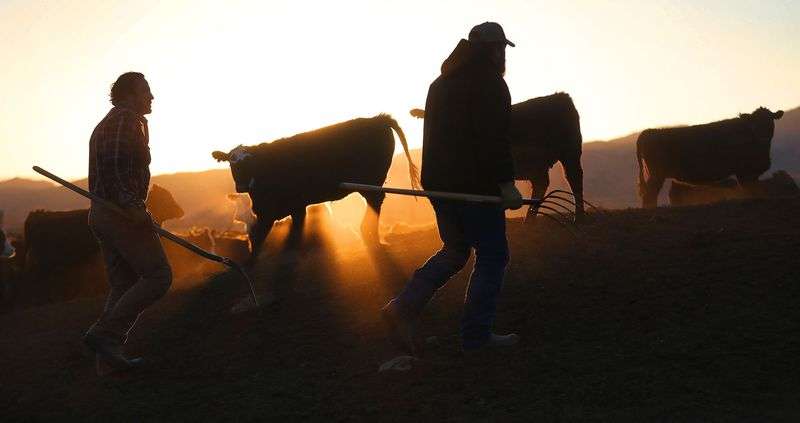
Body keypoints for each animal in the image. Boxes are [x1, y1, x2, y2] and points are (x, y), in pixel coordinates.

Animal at [212, 114, 420, 261]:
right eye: (231, 162)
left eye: (250, 161)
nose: (241, 185)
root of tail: (377, 118)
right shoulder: (278, 210)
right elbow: (264, 236)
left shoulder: (283, 208)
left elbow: (276, 236)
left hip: (371, 181)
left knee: (375, 202)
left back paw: (369, 233)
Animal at [410, 92, 585, 222]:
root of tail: (560, 96)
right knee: (542, 183)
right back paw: (530, 218)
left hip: (570, 152)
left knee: (573, 178)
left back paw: (579, 216)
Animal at [637, 107, 784, 208]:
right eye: (754, 123)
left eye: (770, 121)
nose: (763, 136)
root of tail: (649, 131)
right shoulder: (743, 172)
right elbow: (749, 190)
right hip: (657, 174)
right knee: (649, 194)